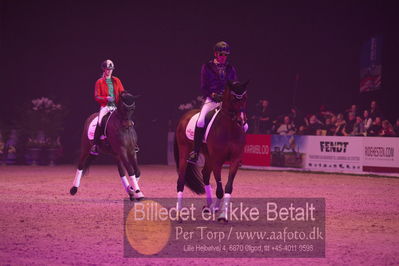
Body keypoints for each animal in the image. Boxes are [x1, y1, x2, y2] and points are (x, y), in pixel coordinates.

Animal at [176, 80, 250, 221]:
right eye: (233, 98)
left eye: (244, 98)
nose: (241, 121)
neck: (229, 129)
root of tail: (185, 116)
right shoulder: (217, 161)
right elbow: (220, 190)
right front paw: (220, 212)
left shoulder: (234, 159)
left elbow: (227, 187)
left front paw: (222, 214)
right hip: (184, 152)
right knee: (181, 180)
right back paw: (178, 214)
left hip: (208, 157)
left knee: (205, 174)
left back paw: (209, 207)